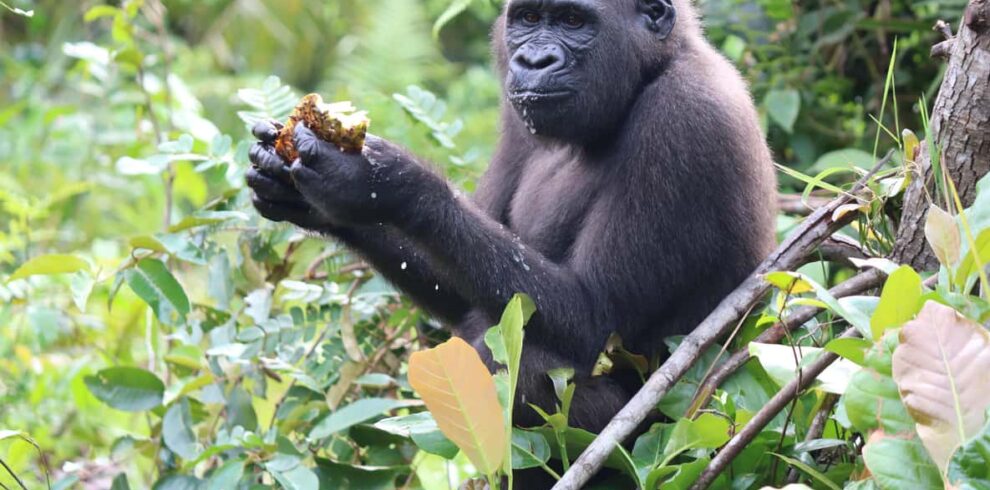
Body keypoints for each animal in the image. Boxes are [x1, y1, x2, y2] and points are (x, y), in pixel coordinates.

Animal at [247, 0, 775, 483]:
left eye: (573, 21)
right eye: (528, 19)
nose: (534, 61)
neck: (653, 69)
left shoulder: (685, 116)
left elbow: (594, 318)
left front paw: (382, 182)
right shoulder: (518, 116)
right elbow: (461, 289)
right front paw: (309, 202)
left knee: (513, 365)